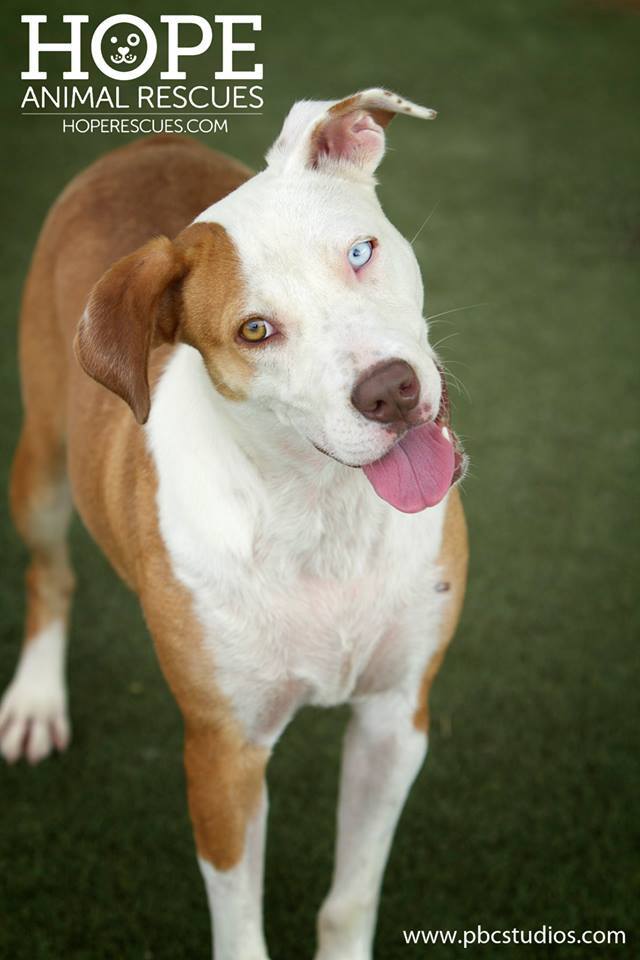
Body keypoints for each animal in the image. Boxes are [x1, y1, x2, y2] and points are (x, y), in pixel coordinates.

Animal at [1, 92, 470, 960]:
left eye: (360, 252)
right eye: (256, 330)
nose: (389, 389)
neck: (321, 510)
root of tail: (144, 143)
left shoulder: (395, 718)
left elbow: (350, 899)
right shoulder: (223, 755)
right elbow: (240, 925)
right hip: (42, 464)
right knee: (49, 571)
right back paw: (37, 700)